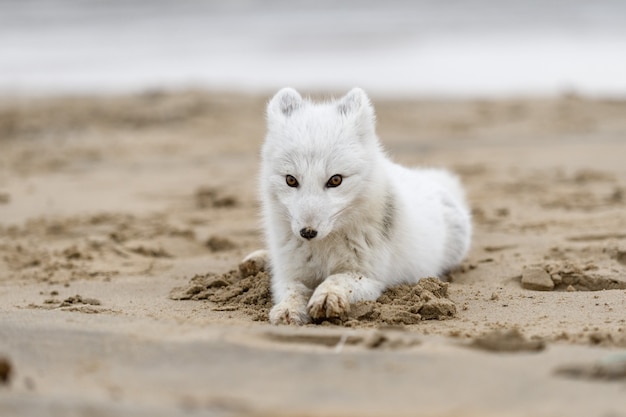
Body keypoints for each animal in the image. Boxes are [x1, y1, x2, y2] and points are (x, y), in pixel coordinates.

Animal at [256, 86, 470, 324]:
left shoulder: (369, 277)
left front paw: (327, 296)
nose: (307, 232)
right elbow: (291, 290)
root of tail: (431, 180)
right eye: (291, 180)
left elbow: (338, 278)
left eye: (335, 180)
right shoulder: (288, 273)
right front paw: (288, 309)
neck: (323, 248)